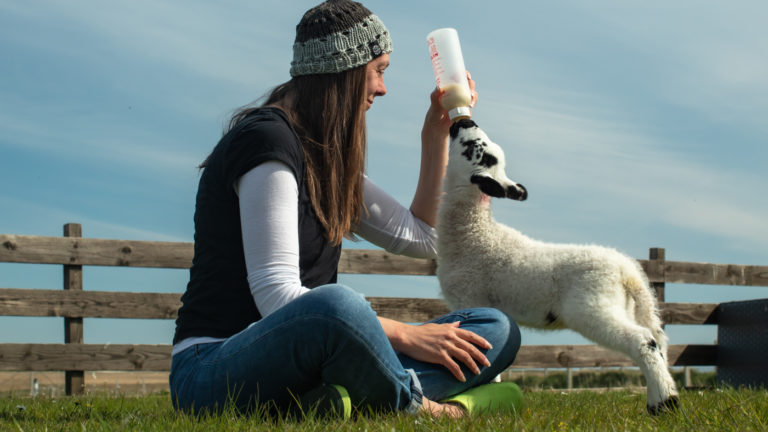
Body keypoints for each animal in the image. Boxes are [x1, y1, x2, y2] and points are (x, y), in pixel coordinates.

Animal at [436, 118, 679, 415]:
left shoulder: (470, 297)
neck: (476, 234)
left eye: (474, 147)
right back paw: (663, 398)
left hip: (593, 305)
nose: (465, 121)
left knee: (644, 340)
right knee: (658, 343)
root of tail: (627, 271)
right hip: (626, 306)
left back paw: (664, 404)